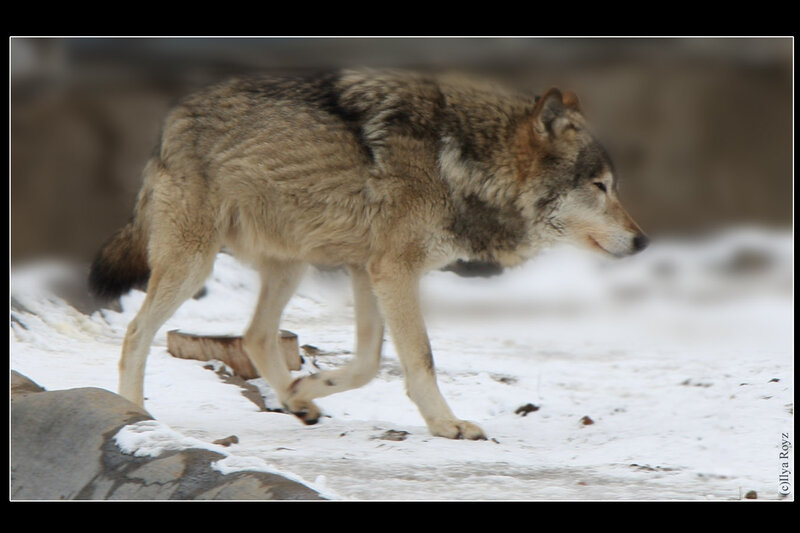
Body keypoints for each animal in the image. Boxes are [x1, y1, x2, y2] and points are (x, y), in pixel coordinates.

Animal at [89, 68, 648, 440]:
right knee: (136, 332)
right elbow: (419, 358)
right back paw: (134, 415)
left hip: (291, 267)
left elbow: (367, 364)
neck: (459, 161)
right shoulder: (393, 271)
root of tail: (173, 120)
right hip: (195, 263)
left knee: (255, 335)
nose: (643, 241)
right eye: (600, 186)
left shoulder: (367, 271)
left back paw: (296, 405)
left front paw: (306, 391)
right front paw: (446, 424)